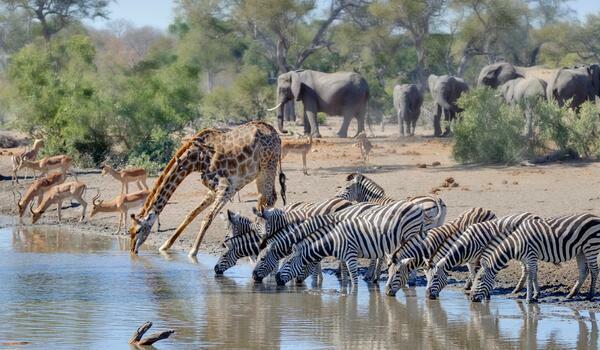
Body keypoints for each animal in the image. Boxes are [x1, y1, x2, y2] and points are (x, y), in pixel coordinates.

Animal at [128, 121, 286, 258]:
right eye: (129, 231)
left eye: (138, 230)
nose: (132, 250)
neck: (196, 160)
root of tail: (276, 135)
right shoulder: (214, 189)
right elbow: (191, 214)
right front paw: (165, 246)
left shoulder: (226, 188)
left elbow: (207, 218)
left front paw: (193, 252)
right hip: (261, 171)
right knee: (268, 199)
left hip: (267, 166)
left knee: (267, 199)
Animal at [274, 201, 424, 288]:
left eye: (288, 263)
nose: (276, 279)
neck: (333, 241)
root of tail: (417, 206)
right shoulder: (344, 257)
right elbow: (345, 274)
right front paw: (343, 288)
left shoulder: (350, 255)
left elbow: (353, 278)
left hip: (411, 233)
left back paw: (411, 280)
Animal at [472, 215, 600, 302]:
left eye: (480, 279)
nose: (471, 298)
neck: (515, 244)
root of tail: (595, 217)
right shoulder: (528, 259)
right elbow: (533, 275)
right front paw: (535, 295)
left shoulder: (531, 256)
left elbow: (530, 276)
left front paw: (529, 299)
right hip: (581, 251)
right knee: (584, 271)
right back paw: (571, 295)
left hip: (591, 247)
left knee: (594, 270)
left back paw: (590, 295)